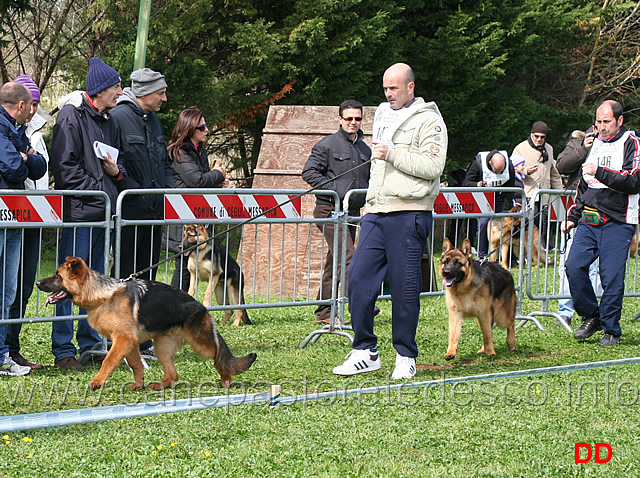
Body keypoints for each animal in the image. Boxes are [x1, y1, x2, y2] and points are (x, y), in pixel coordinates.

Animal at [37, 258, 256, 388]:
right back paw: (160, 385)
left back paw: (226, 378)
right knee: (173, 374)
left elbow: (109, 360)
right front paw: (139, 385)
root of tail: (202, 308)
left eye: (57, 275)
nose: (37, 283)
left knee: (219, 354)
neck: (102, 295)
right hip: (162, 347)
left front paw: (97, 381)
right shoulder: (129, 343)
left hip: (201, 345)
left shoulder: (123, 340)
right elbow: (135, 364)